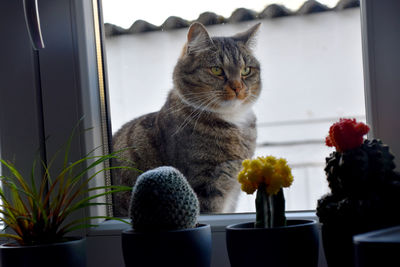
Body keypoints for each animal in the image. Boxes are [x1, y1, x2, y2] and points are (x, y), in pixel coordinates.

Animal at [112, 21, 262, 218]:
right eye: (217, 70)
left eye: (246, 70)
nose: (238, 87)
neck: (234, 123)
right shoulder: (205, 186)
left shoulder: (233, 190)